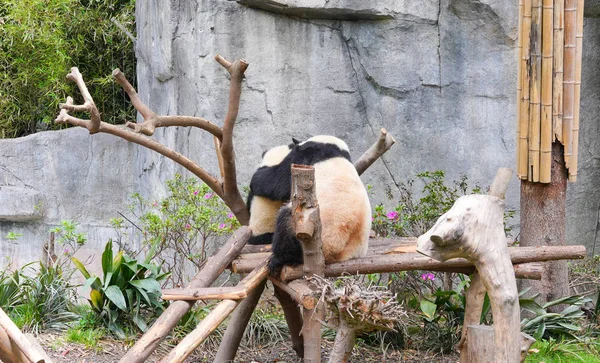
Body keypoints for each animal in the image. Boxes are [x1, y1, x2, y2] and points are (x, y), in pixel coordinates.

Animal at [248, 135, 370, 274]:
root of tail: (337, 255)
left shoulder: (304, 158)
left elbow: (278, 181)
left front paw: (256, 179)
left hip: (310, 232)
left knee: (286, 223)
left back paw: (279, 259)